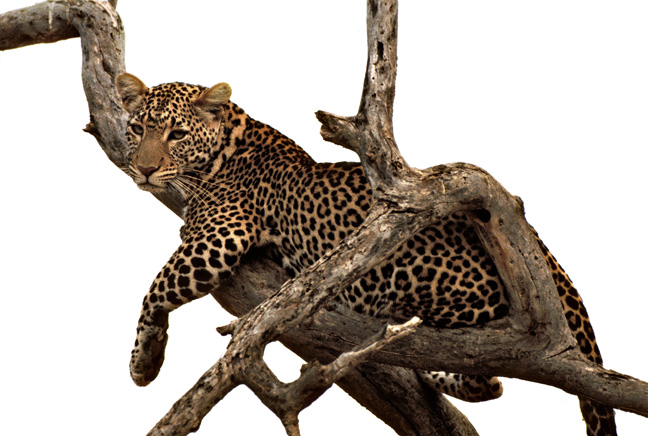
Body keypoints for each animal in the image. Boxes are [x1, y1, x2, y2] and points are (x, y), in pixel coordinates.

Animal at [115, 72, 616, 436]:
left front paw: (144, 363)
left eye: (177, 133)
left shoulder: (219, 237)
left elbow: (155, 289)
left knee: (478, 368)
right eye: (138, 129)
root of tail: (544, 252)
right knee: (488, 384)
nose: (143, 169)